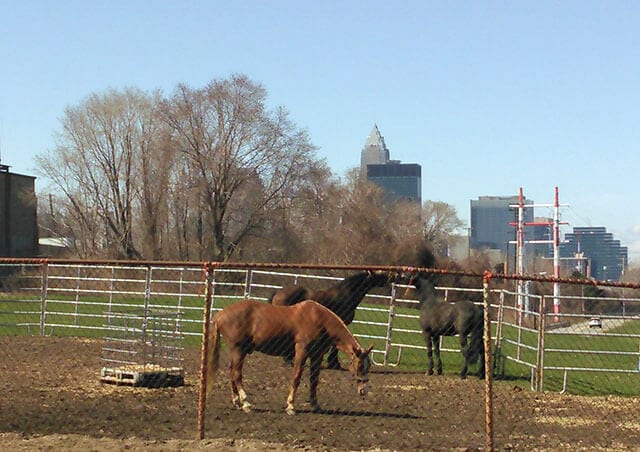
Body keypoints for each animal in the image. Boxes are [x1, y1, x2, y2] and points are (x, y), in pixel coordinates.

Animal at [205, 298, 376, 414]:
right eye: (359, 365)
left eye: (369, 366)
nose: (364, 390)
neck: (320, 320)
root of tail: (220, 315)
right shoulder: (301, 351)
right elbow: (296, 377)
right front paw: (290, 406)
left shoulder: (317, 355)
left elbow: (314, 380)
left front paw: (315, 404)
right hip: (239, 351)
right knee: (236, 374)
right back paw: (246, 403)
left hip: (238, 352)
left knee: (231, 372)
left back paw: (236, 402)